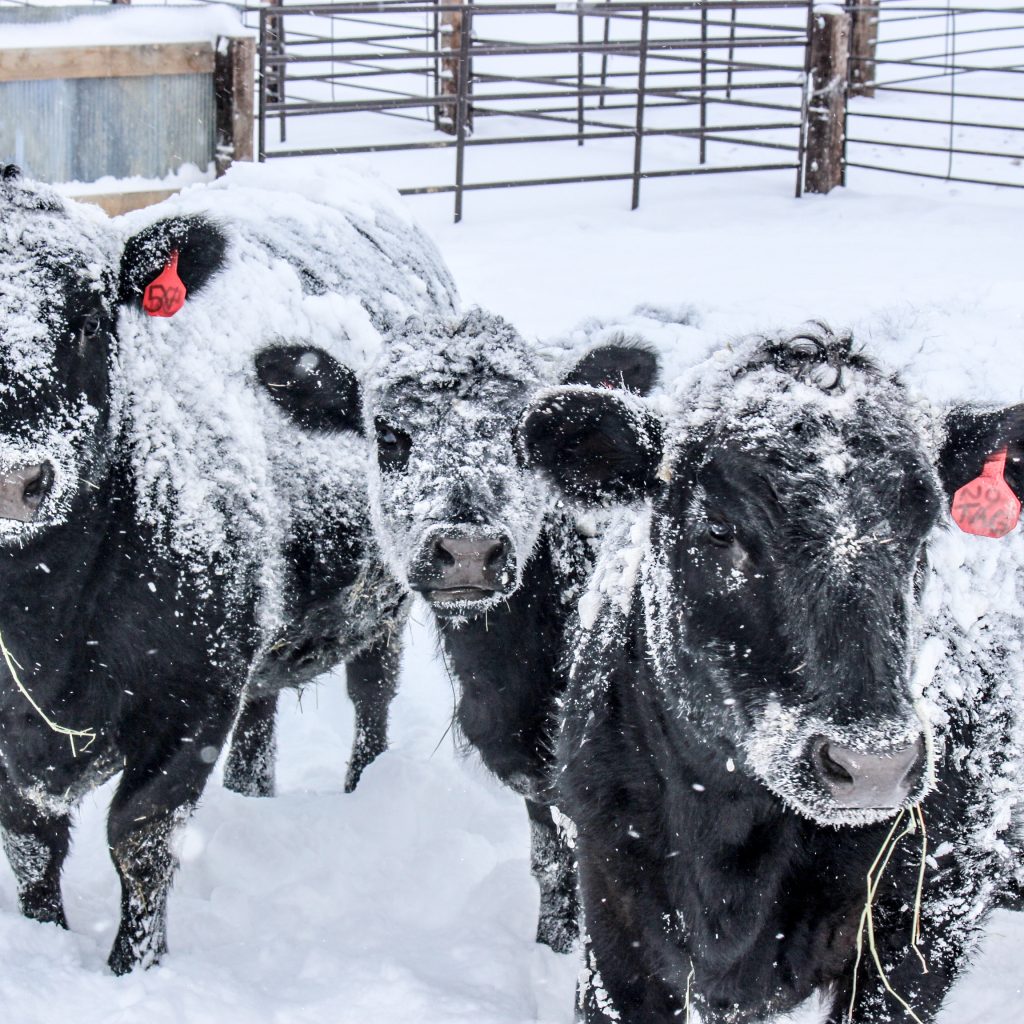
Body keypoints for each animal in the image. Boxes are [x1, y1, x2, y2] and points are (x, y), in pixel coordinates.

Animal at [0, 164, 454, 973]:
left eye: (90, 320)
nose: (16, 478)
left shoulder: (189, 701)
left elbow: (140, 839)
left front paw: (134, 969)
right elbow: (30, 846)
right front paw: (44, 940)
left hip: (386, 600)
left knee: (372, 700)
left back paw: (364, 790)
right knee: (261, 721)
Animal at [258, 306, 659, 953]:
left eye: (527, 437)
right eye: (388, 435)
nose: (468, 551)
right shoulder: (531, 774)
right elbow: (552, 866)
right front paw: (549, 941)